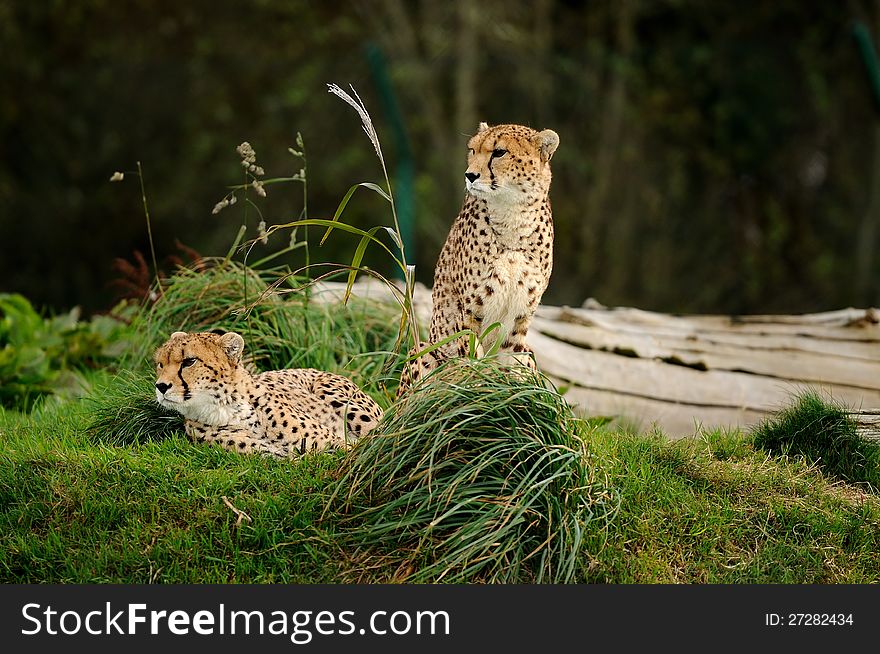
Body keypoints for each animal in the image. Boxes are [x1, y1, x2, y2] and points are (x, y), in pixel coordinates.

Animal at [155, 330, 382, 458]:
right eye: (160, 364)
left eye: (189, 362)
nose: (161, 386)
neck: (224, 407)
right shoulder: (276, 458)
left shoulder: (337, 443)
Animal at [400, 121, 556, 394]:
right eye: (472, 150)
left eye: (499, 152)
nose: (470, 175)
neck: (513, 217)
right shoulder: (470, 310)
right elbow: (473, 359)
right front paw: (478, 387)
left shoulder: (521, 316)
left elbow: (511, 364)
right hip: (425, 349)